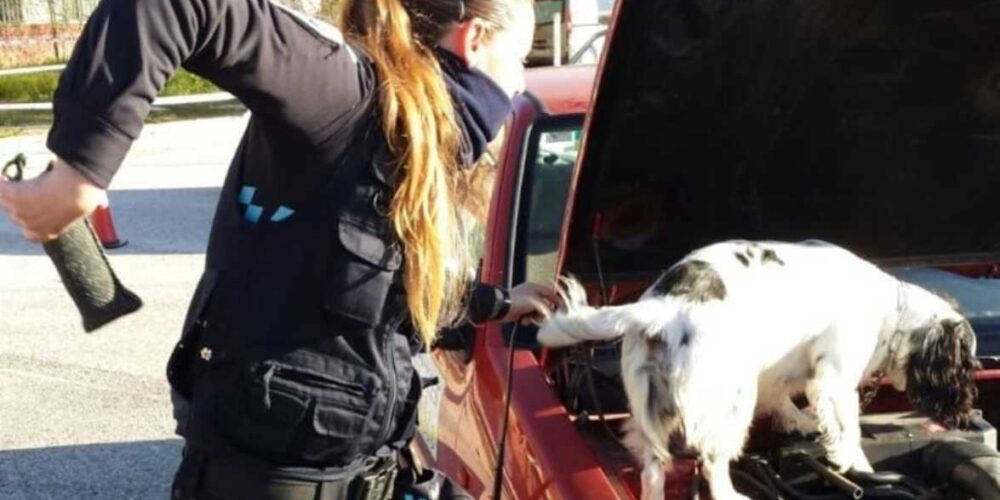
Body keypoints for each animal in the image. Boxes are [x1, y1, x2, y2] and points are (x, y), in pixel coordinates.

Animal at [536, 240, 980, 498]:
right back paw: (733, 494)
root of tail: (664, 307)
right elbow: (847, 434)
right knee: (712, 463)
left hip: (652, 414)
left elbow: (783, 399)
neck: (893, 310)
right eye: (966, 368)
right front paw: (860, 469)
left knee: (652, 471)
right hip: (731, 402)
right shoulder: (835, 383)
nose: (964, 414)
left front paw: (798, 422)